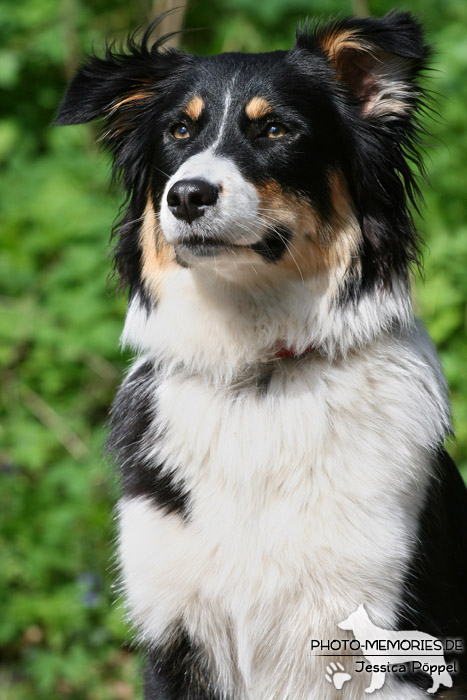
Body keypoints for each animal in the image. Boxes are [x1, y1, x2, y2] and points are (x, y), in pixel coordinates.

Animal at [55, 10, 467, 700]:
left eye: (275, 129)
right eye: (179, 130)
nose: (186, 195)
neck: (258, 369)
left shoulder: (389, 645)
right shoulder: (177, 632)